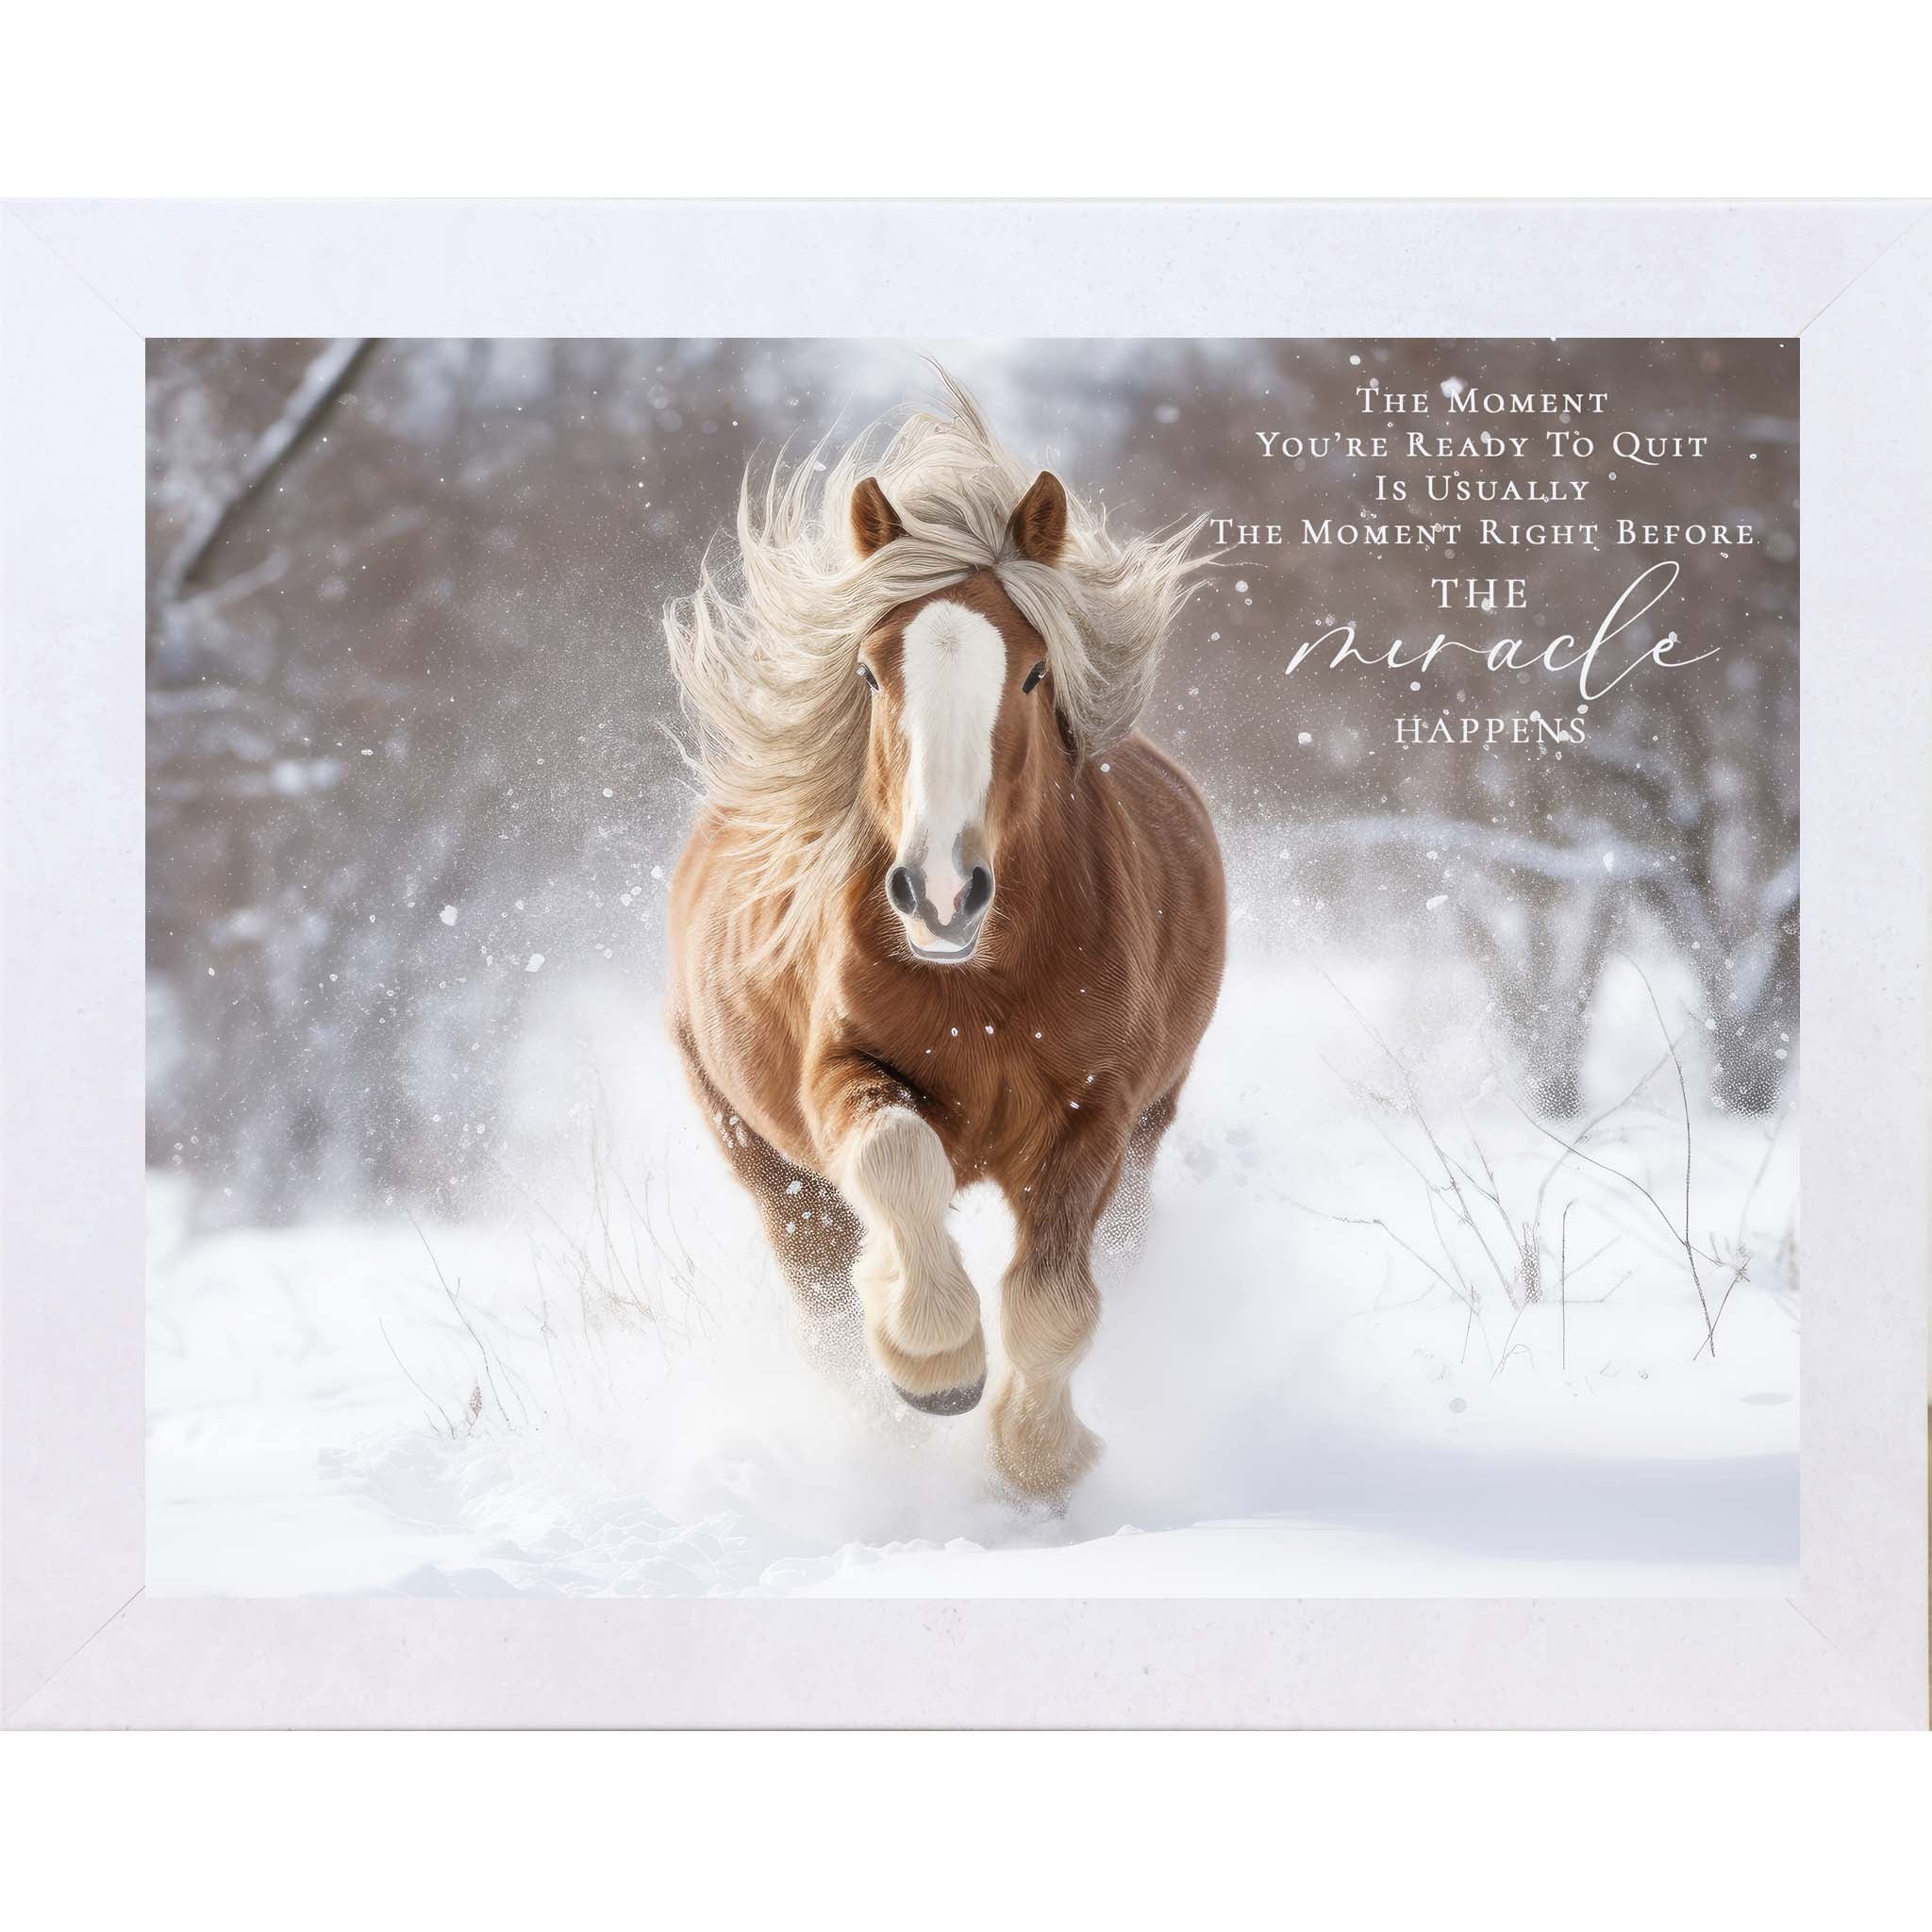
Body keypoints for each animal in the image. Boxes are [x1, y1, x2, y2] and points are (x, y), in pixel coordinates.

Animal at [662, 378, 1225, 1501]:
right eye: (872, 673)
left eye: (1035, 672)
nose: (939, 895)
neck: (986, 984)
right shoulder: (838, 1073)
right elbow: (897, 1160)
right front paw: (935, 1361)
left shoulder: (1097, 1114)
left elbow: (1053, 1306)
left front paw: (1042, 1455)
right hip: (767, 1166)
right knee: (826, 1312)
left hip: (1149, 1135)